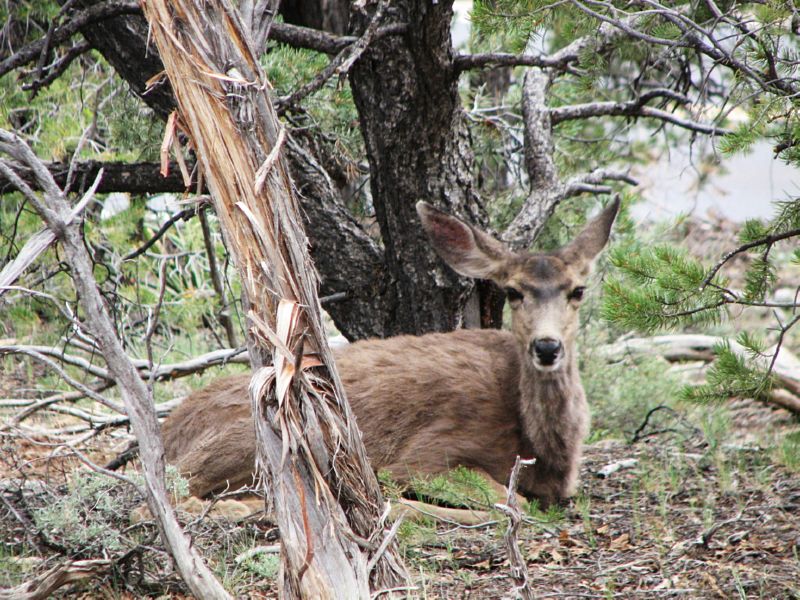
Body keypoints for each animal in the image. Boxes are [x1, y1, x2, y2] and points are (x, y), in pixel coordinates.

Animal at [159, 198, 620, 510]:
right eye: (513, 292)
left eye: (578, 290)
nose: (547, 346)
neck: (540, 447)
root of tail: (168, 435)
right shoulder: (430, 450)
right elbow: (512, 501)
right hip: (257, 434)